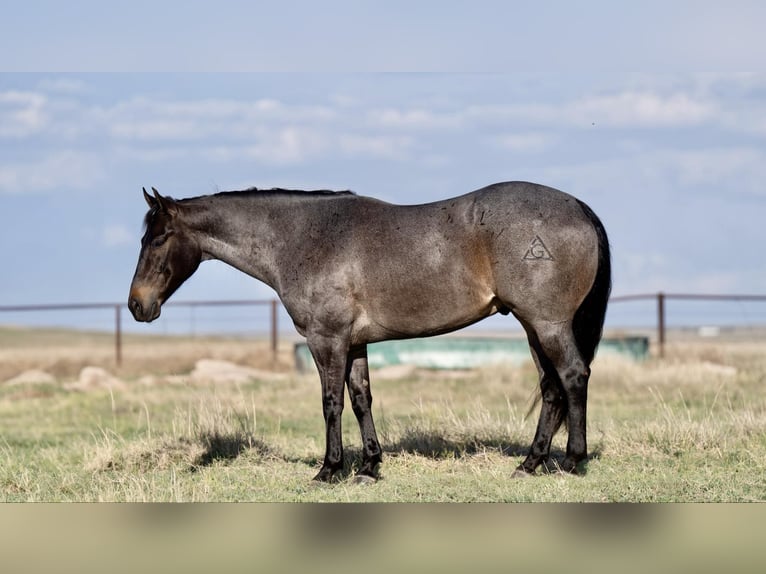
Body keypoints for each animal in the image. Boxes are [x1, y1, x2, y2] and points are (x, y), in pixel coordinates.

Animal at [130, 182, 612, 484]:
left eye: (158, 238)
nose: (137, 305)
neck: (305, 238)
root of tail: (577, 205)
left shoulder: (326, 340)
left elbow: (331, 403)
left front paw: (329, 470)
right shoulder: (356, 342)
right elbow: (361, 399)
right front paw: (368, 466)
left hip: (547, 324)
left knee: (572, 377)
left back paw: (572, 461)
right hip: (532, 326)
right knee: (551, 388)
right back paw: (530, 463)